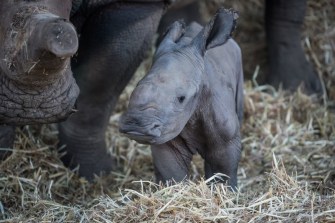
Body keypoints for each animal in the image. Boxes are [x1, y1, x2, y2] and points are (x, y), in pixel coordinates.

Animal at [120, 7, 244, 188]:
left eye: (181, 98)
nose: (136, 125)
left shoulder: (226, 139)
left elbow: (222, 173)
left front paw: (226, 192)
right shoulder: (166, 135)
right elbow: (172, 174)